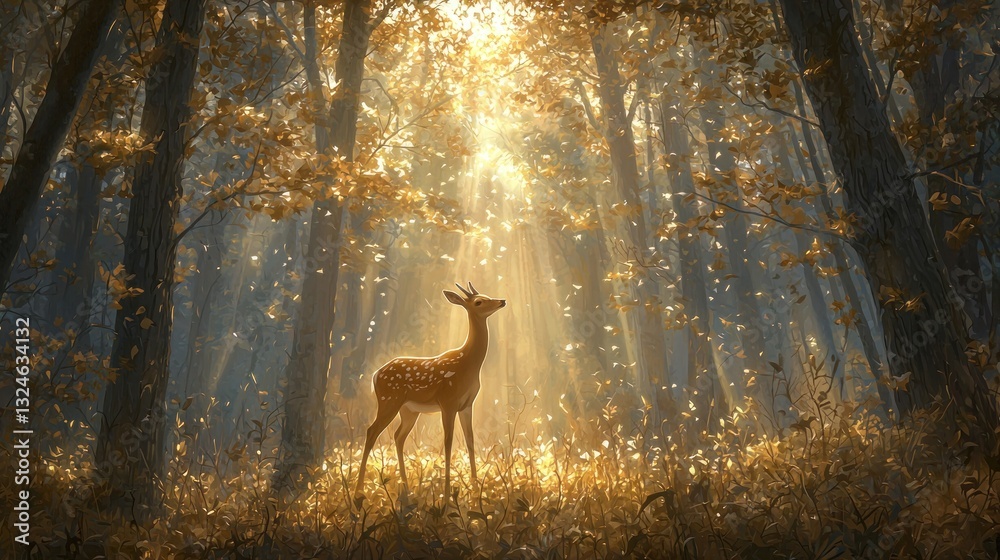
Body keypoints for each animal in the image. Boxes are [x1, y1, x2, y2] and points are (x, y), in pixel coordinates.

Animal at [355, 281, 506, 502]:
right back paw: (359, 492)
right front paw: (447, 494)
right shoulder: (448, 401)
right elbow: (448, 442)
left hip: (409, 410)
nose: (502, 300)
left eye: (487, 296)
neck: (468, 363)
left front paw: (475, 488)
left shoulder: (467, 404)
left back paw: (406, 489)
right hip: (389, 399)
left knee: (398, 436)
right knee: (372, 431)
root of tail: (375, 375)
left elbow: (470, 441)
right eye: (479, 302)